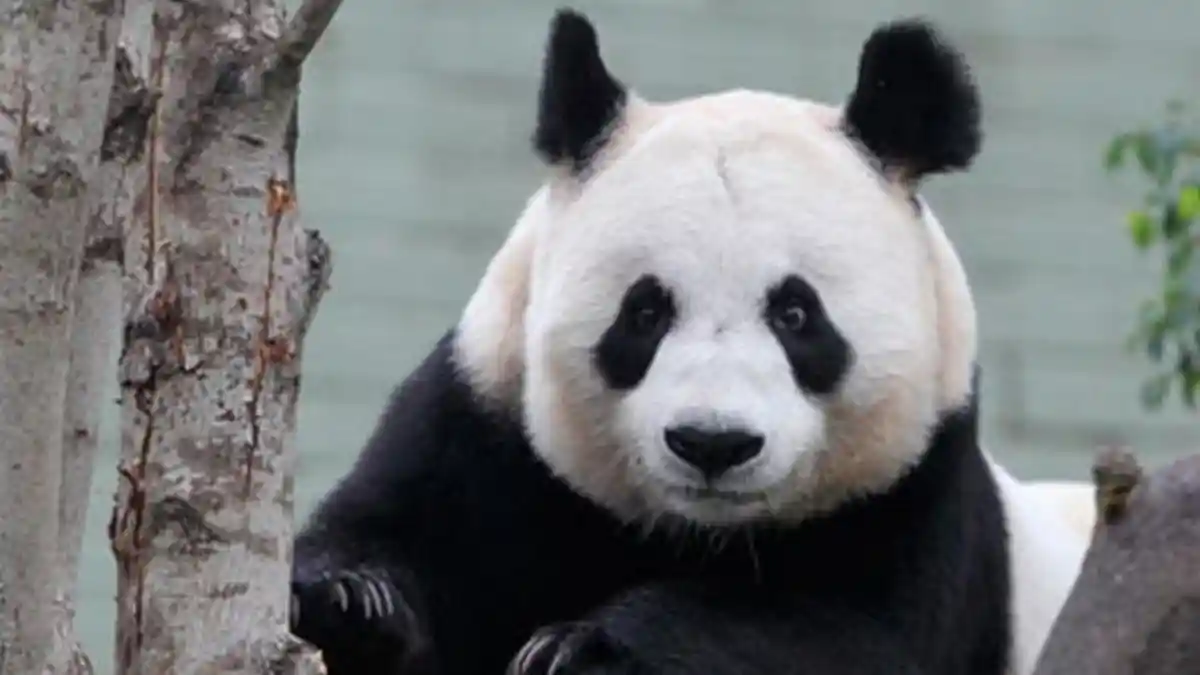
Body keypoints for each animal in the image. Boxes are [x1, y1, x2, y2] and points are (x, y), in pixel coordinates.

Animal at [289, 8, 1091, 675]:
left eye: (796, 314)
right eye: (644, 312)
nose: (713, 442)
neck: (699, 533)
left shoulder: (919, 489)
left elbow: (840, 637)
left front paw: (582, 648)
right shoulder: (486, 420)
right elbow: (395, 532)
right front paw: (354, 603)